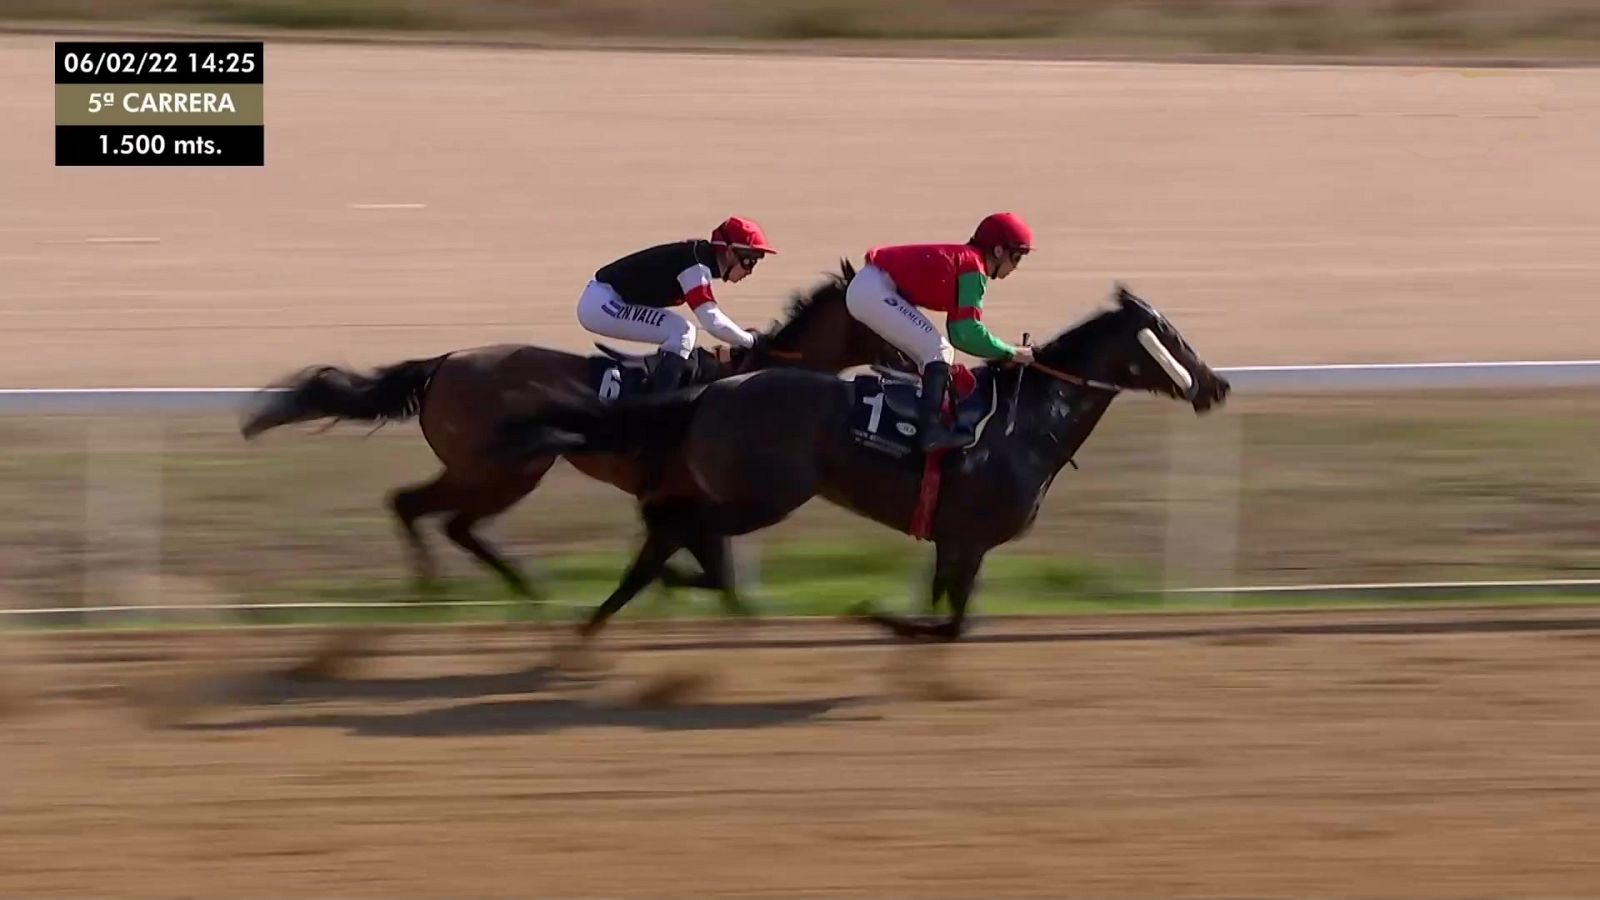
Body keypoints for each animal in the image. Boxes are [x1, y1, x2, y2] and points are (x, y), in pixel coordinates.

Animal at [239, 261, 905, 612]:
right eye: (887, 312)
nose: (913, 359)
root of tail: (443, 362)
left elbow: (706, 566)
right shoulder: (686, 495)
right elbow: (703, 564)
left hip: (495, 470)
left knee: (435, 516)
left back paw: (512, 589)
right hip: (502, 469)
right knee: (421, 509)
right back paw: (442, 588)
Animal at [497, 285, 1232, 641]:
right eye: (1170, 336)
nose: (1217, 385)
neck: (1029, 421)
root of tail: (712, 390)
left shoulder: (957, 542)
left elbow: (953, 617)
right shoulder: (967, 540)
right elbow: (951, 624)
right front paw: (874, 612)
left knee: (668, 533)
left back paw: (601, 619)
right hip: (764, 495)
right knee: (679, 529)